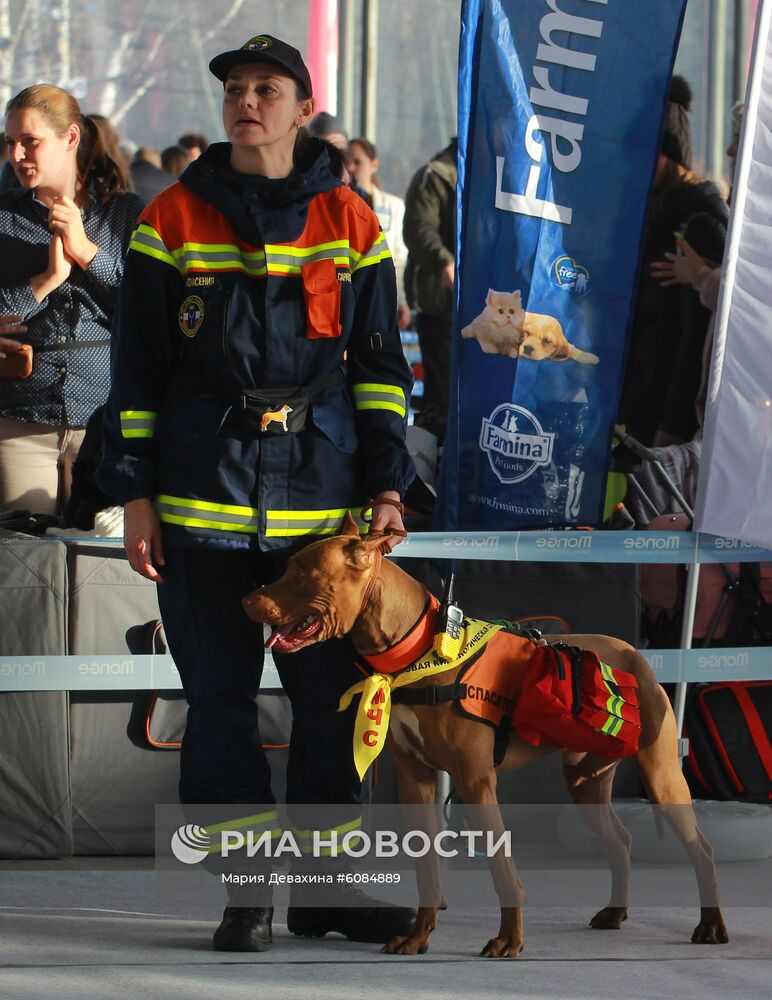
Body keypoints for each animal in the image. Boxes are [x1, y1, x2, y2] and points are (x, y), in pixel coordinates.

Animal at [244, 520, 728, 956]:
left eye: (302, 573)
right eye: (289, 568)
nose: (246, 600)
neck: (418, 651)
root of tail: (634, 653)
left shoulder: (476, 782)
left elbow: (500, 868)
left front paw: (508, 940)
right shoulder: (415, 781)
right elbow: (427, 869)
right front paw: (417, 938)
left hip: (662, 775)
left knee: (702, 849)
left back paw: (711, 925)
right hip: (585, 782)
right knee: (620, 841)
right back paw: (615, 913)